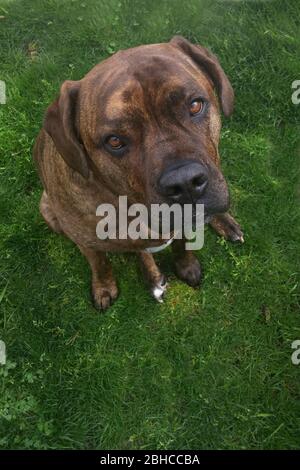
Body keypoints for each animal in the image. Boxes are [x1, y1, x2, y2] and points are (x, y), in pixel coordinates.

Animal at [33, 35, 244, 308]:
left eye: (195, 105)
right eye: (114, 141)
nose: (185, 183)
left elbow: (182, 244)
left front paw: (186, 265)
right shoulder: (85, 241)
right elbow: (101, 264)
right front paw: (105, 286)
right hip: (47, 210)